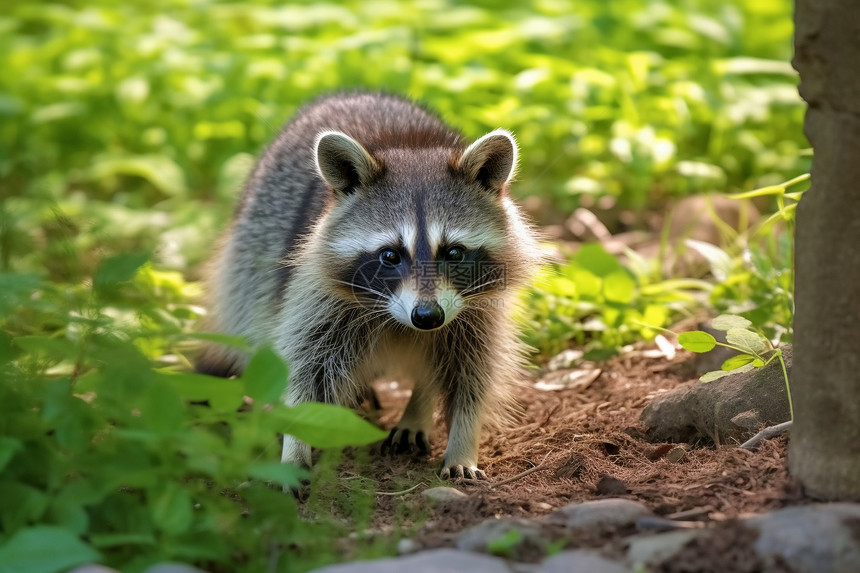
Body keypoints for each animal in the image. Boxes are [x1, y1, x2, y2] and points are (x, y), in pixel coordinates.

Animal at [198, 92, 540, 478]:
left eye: (454, 252)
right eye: (390, 255)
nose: (427, 316)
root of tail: (351, 93)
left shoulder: (477, 308)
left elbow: (473, 371)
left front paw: (463, 442)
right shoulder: (316, 290)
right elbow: (306, 364)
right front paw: (295, 445)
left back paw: (417, 408)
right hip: (254, 244)